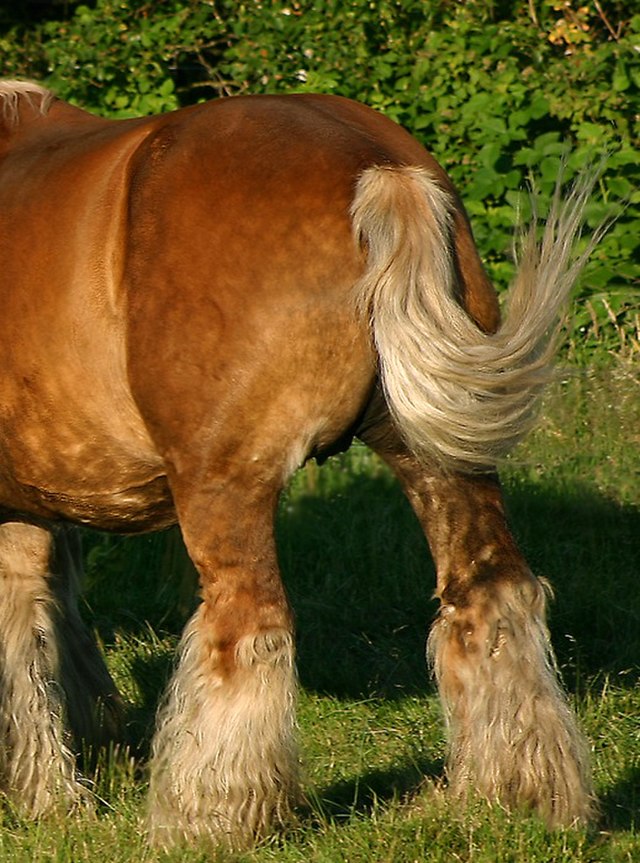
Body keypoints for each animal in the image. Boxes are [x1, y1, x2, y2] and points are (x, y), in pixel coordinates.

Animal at [0, 77, 596, 848]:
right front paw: (53, 792)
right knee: (493, 598)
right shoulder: (32, 503)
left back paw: (203, 824)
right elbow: (36, 625)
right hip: (443, 460)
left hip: (226, 485)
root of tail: (376, 168)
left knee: (246, 633)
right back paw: (516, 798)